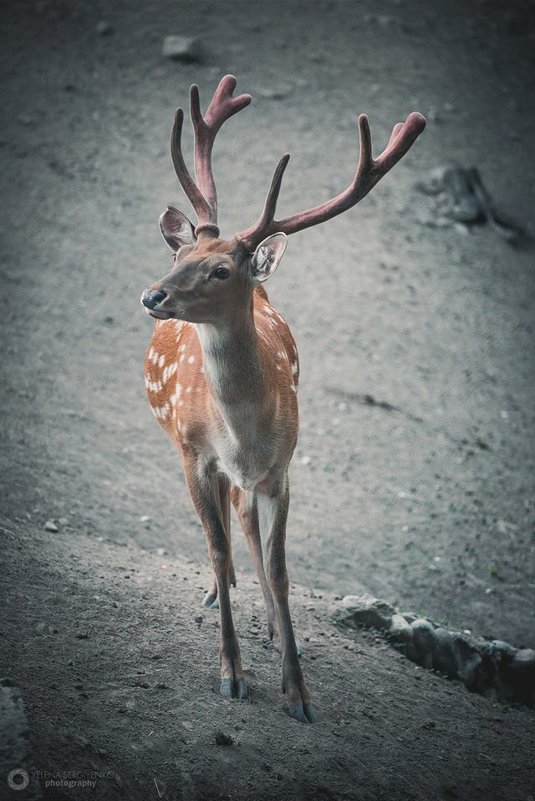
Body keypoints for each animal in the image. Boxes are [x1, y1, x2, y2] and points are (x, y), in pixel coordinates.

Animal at [142, 76, 428, 724]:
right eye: (180, 256)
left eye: (222, 270)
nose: (152, 295)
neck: (242, 434)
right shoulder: (195, 454)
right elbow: (218, 548)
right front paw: (231, 673)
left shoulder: (282, 467)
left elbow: (279, 569)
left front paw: (296, 689)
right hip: (184, 448)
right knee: (223, 531)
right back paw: (221, 594)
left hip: (251, 475)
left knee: (244, 520)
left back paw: (271, 626)